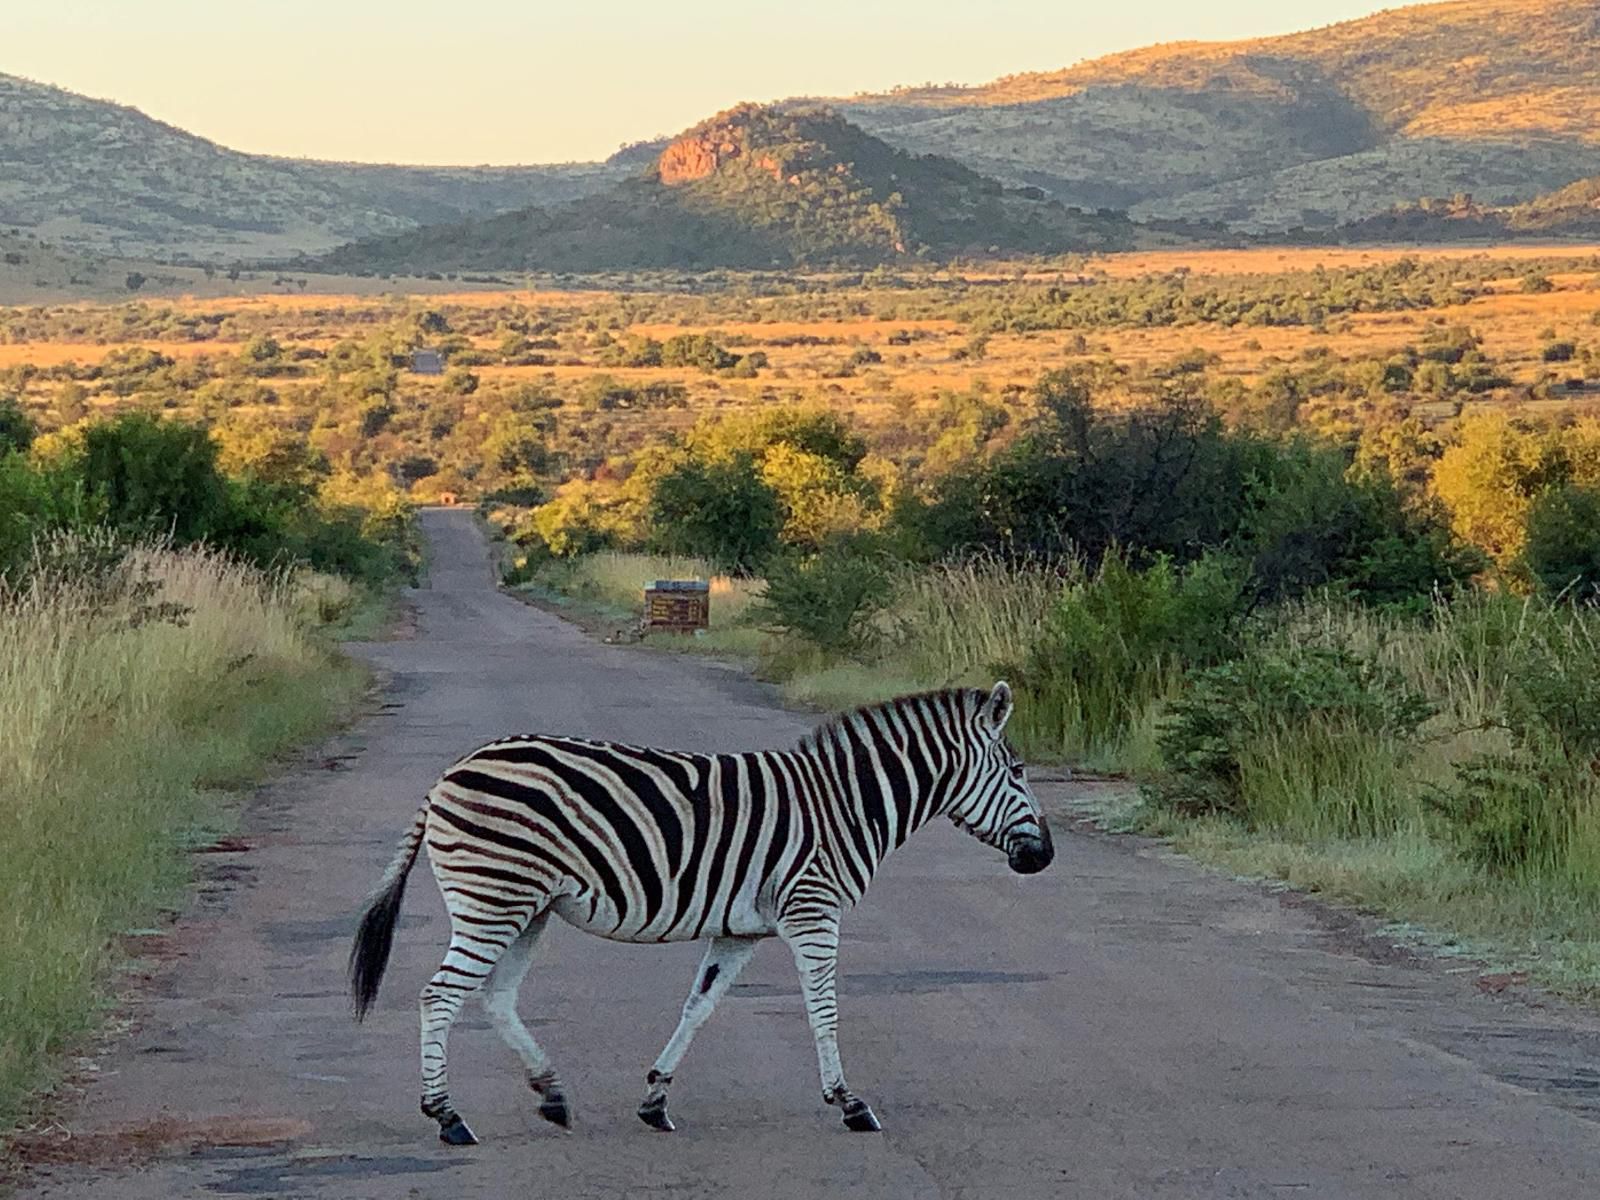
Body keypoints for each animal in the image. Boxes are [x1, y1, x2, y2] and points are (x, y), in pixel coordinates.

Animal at [347, 684, 1049, 1145]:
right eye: (1017, 770)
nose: (1044, 857)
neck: (845, 806)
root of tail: (447, 774)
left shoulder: (740, 930)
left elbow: (699, 1006)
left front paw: (656, 1099)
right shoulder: (813, 909)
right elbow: (823, 1009)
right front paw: (849, 1104)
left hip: (528, 906)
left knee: (493, 996)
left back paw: (552, 1094)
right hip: (494, 898)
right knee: (440, 996)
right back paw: (447, 1117)